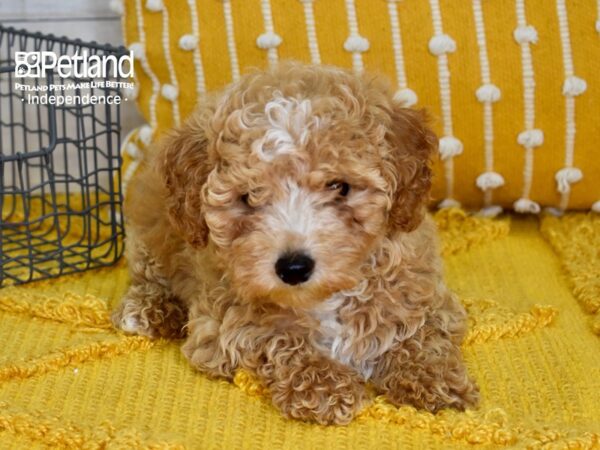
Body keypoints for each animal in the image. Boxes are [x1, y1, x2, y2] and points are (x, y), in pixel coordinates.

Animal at [111, 62, 478, 426]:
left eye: (339, 187)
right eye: (249, 197)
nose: (294, 268)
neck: (324, 297)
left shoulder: (427, 295)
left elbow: (421, 334)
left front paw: (431, 381)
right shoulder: (219, 325)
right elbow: (275, 335)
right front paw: (326, 386)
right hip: (150, 236)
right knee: (148, 277)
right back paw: (147, 311)